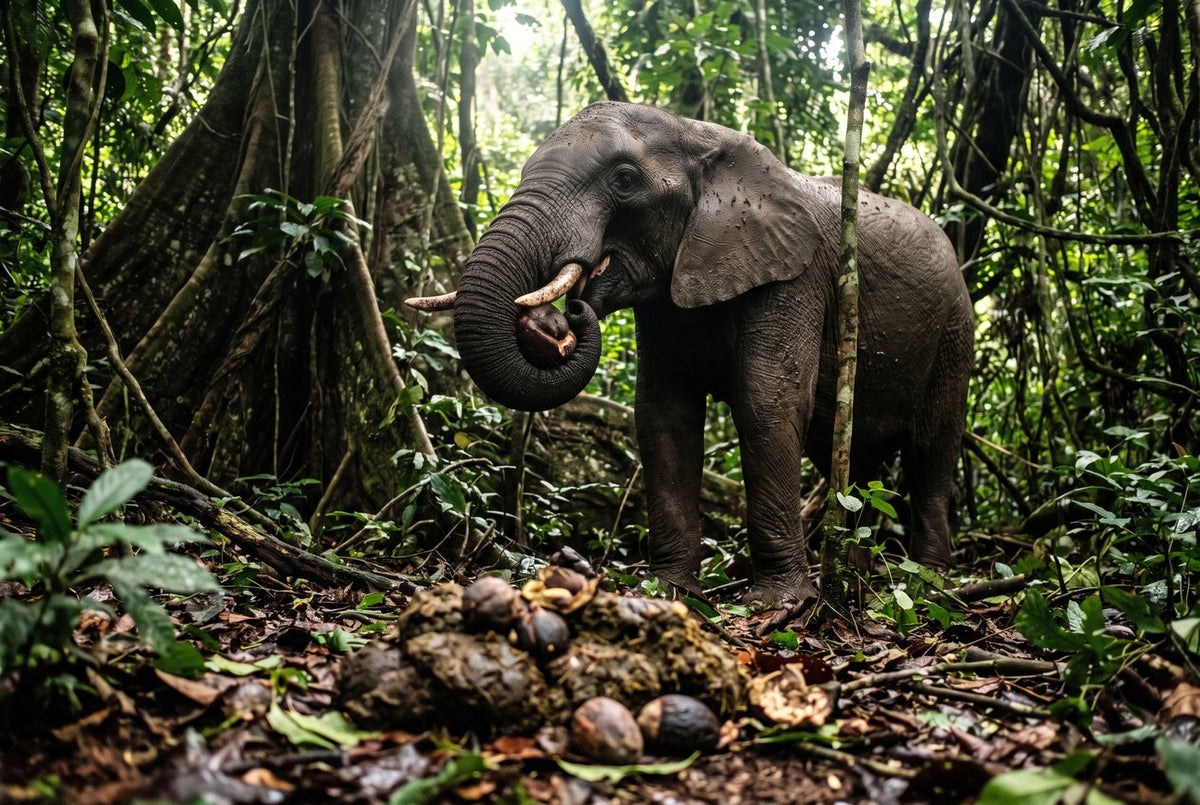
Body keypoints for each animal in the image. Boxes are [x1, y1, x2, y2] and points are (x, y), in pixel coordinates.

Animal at [407, 101, 974, 607]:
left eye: (625, 180)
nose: (569, 314)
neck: (698, 135)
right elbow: (663, 413)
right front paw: (669, 591)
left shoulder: (795, 278)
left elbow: (767, 401)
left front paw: (777, 604)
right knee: (853, 457)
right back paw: (857, 580)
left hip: (955, 331)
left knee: (932, 448)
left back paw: (928, 587)